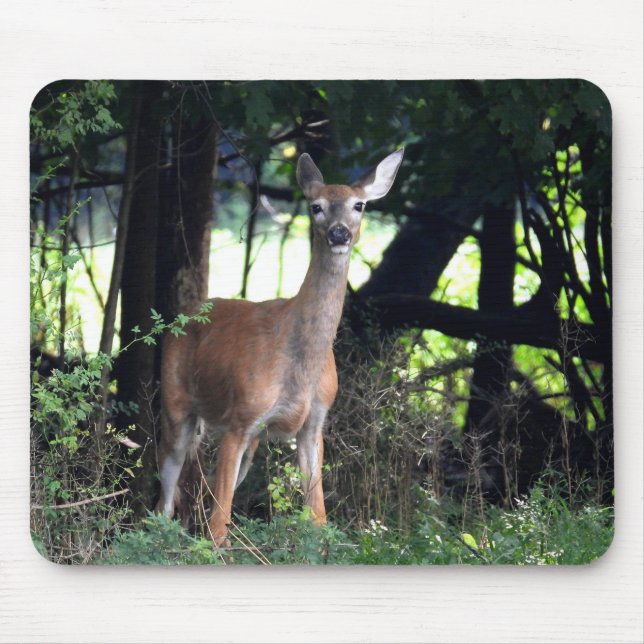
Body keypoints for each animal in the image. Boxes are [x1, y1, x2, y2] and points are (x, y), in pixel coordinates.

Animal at [155, 148, 405, 546]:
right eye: (316, 206)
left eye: (360, 205)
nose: (339, 233)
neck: (301, 368)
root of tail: (185, 314)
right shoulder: (240, 417)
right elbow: (219, 523)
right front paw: (214, 549)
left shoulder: (314, 422)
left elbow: (318, 515)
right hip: (176, 403)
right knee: (166, 492)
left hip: (249, 439)